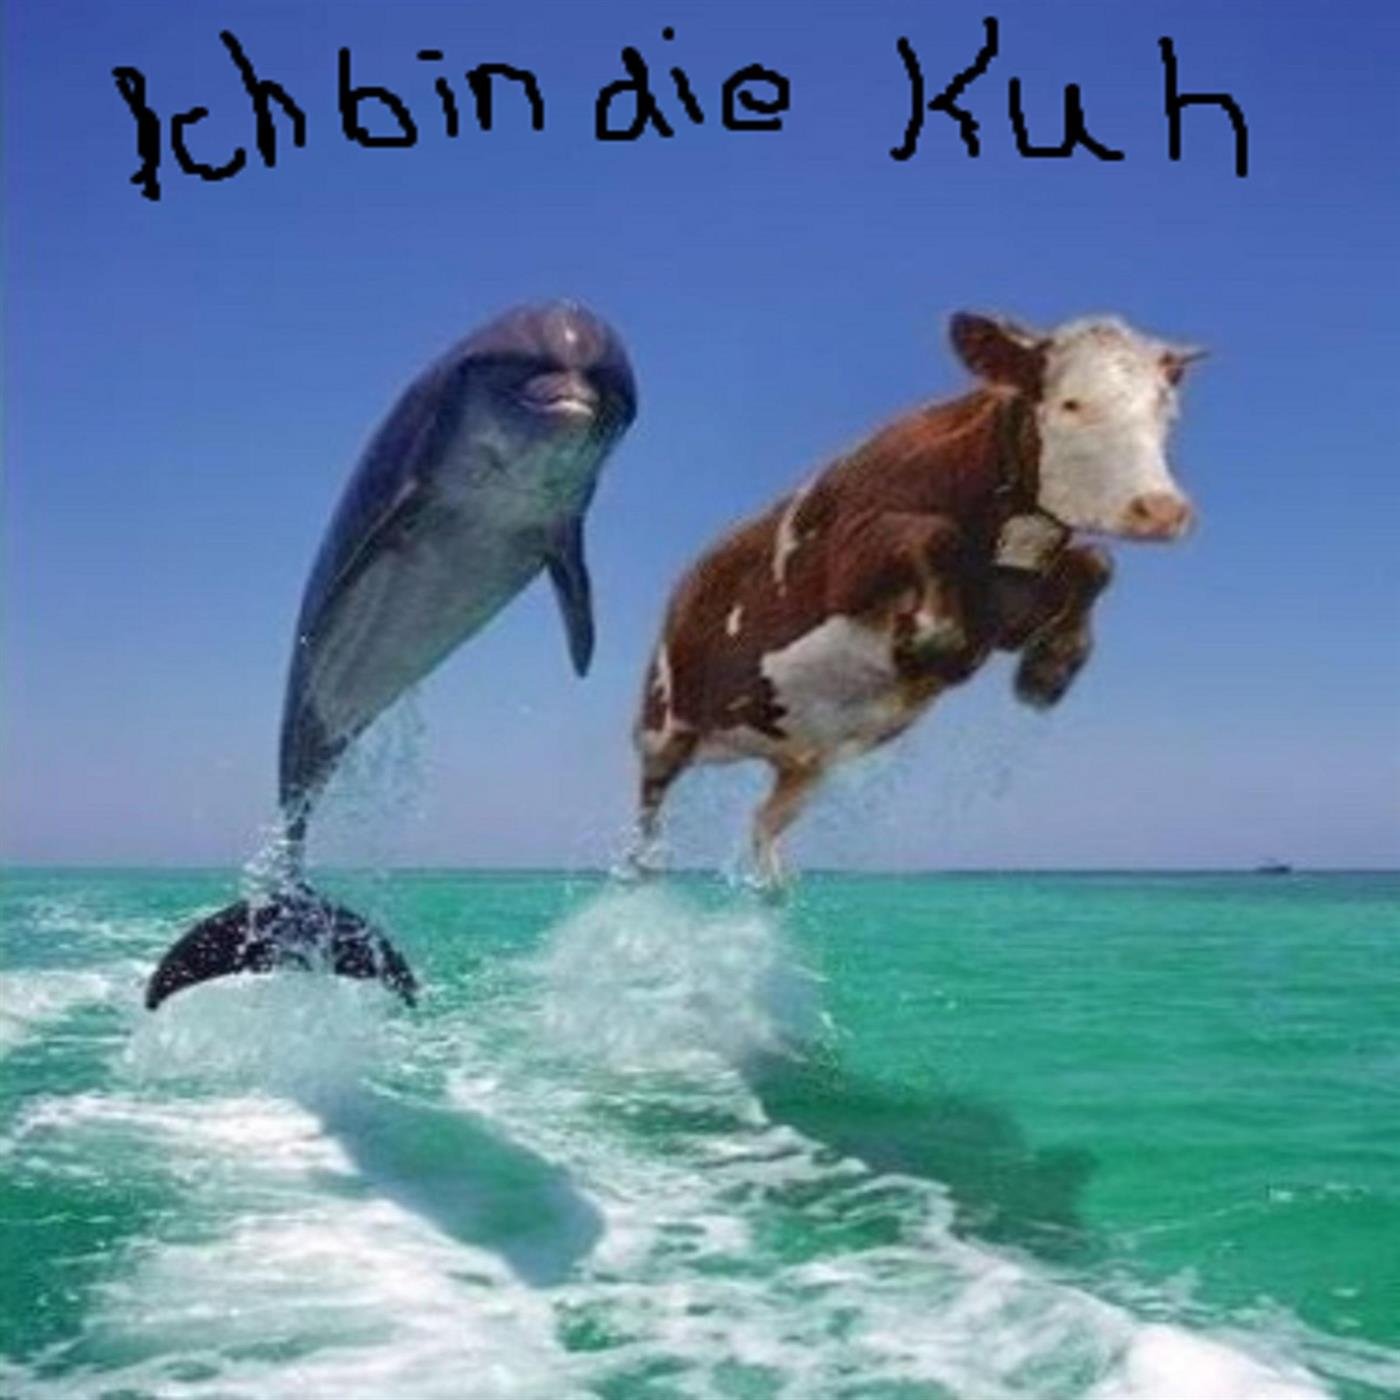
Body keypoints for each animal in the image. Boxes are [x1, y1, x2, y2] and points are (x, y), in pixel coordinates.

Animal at [629, 311, 1203, 886]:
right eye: (1071, 403)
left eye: (1166, 411)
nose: (1161, 509)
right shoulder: (847, 558)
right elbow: (934, 536)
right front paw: (929, 643)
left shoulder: (1007, 614)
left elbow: (1096, 563)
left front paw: (1049, 671)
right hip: (664, 722)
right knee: (649, 806)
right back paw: (645, 867)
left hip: (806, 761)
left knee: (764, 821)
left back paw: (773, 887)